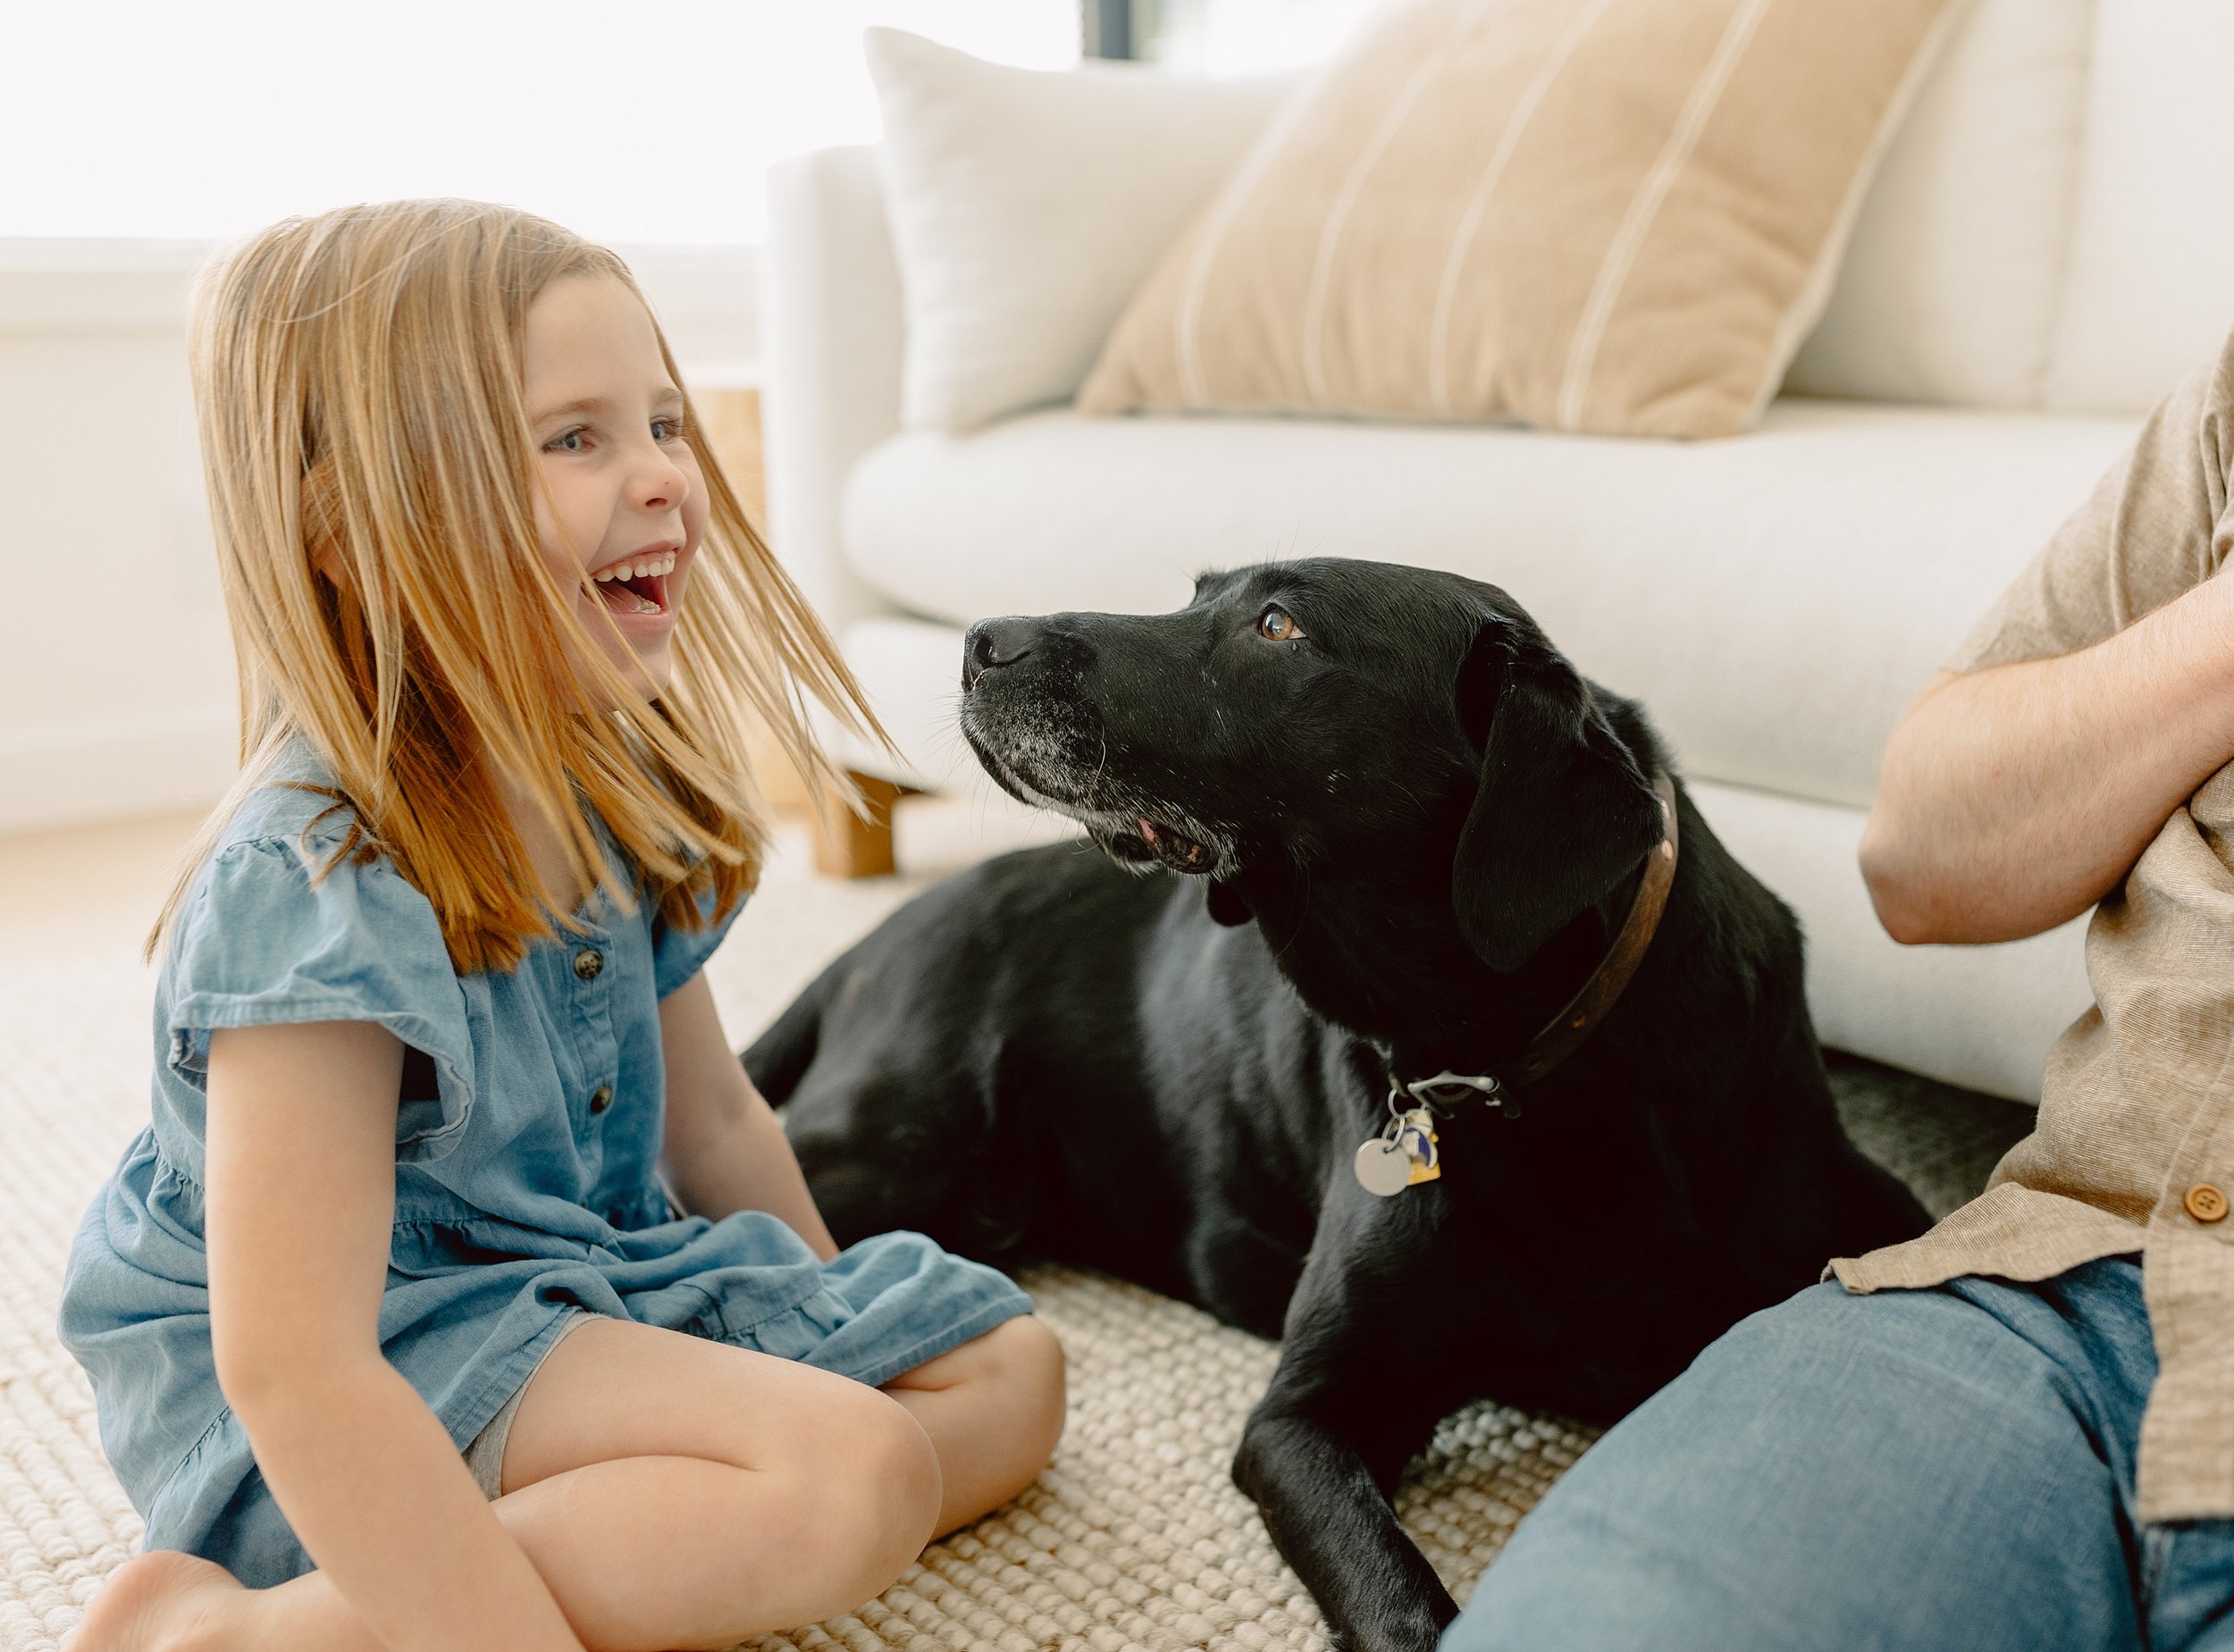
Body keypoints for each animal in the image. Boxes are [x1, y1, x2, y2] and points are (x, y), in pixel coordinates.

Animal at [746, 560, 1921, 1643]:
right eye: (1197, 593)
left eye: (1278, 625)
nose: (982, 641)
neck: (1519, 1073)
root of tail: (878, 934)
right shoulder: (1300, 1420)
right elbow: (1393, 1595)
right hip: (897, 1151)